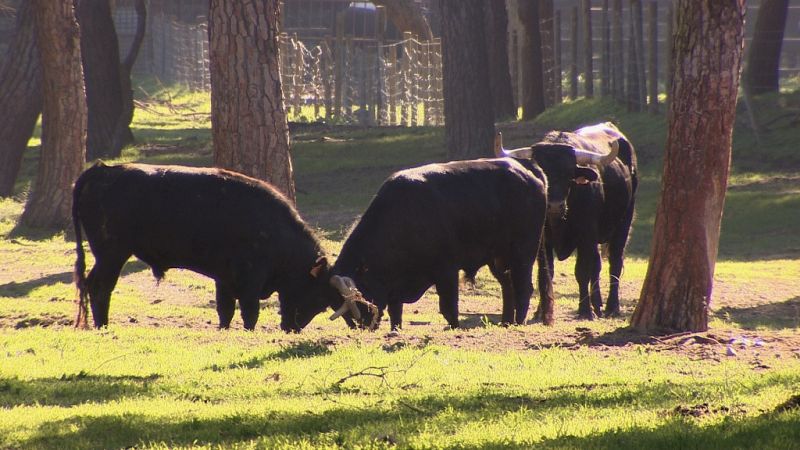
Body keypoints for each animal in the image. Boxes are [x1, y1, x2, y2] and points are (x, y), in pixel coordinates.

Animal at [326, 158, 552, 330]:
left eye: (359, 295)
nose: (363, 325)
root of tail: (525, 168)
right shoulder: (396, 284)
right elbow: (396, 311)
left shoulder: (447, 271)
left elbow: (449, 307)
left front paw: (453, 328)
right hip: (498, 259)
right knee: (508, 286)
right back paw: (506, 322)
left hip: (523, 253)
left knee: (524, 287)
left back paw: (518, 323)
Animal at [494, 123, 636, 320]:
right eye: (542, 173)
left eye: (569, 173)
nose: (554, 205)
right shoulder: (543, 241)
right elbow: (546, 274)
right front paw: (540, 312)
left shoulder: (587, 234)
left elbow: (582, 271)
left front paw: (585, 311)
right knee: (597, 264)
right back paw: (598, 304)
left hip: (624, 222)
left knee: (615, 261)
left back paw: (611, 307)